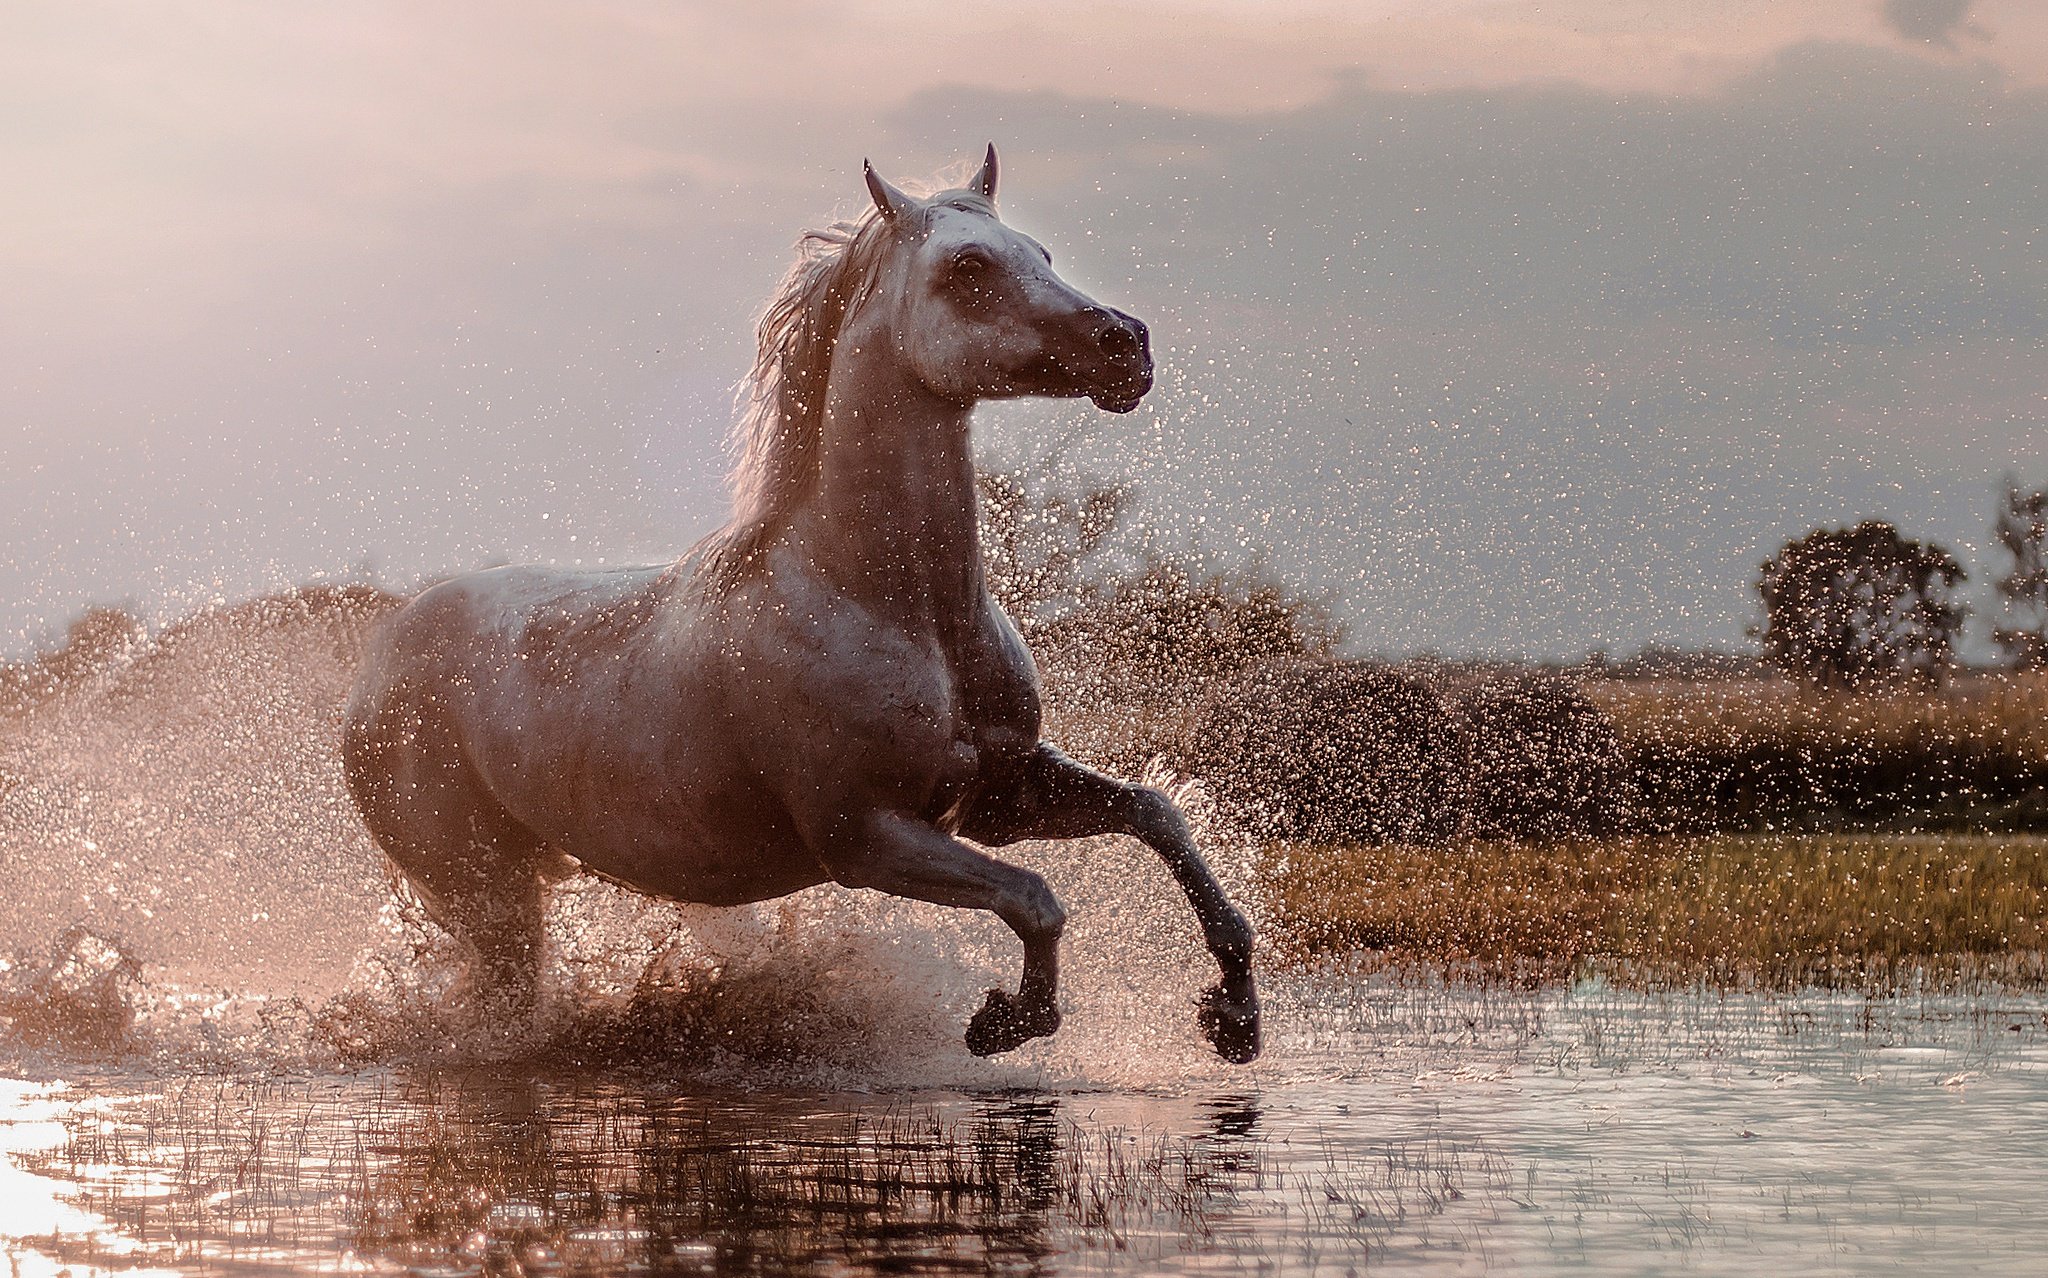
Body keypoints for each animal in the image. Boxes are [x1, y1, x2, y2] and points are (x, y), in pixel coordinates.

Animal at [344, 149, 1253, 1065]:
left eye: (1041, 253)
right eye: (967, 266)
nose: (1125, 345)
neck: (884, 606)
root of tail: (379, 662)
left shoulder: (1001, 796)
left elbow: (1156, 814)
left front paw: (1235, 1014)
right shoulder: (865, 836)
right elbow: (1035, 897)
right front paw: (1008, 1019)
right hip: (485, 890)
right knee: (499, 1011)